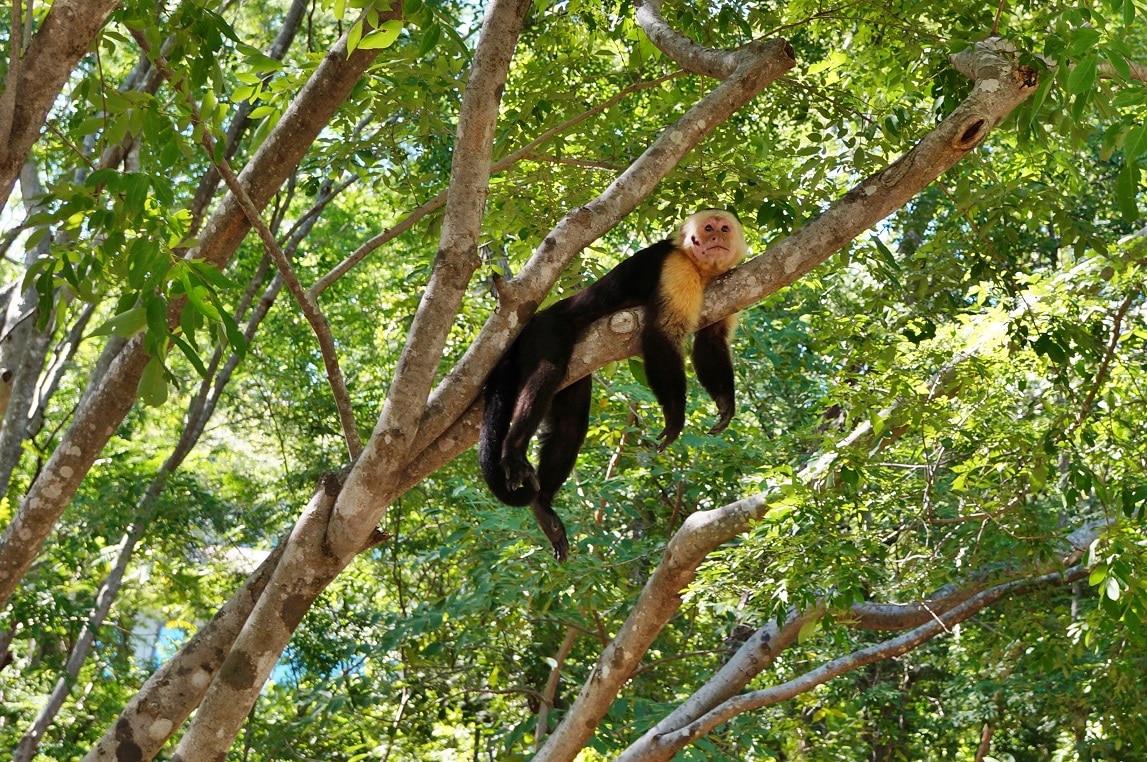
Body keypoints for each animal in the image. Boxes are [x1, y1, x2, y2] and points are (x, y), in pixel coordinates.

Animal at [479, 208, 747, 560]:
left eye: (724, 228)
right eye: (708, 228)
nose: (715, 237)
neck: (702, 270)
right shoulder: (675, 267)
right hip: (545, 332)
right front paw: (675, 415)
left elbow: (711, 341)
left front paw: (725, 402)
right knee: (547, 372)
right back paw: (513, 450)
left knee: (571, 423)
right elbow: (660, 335)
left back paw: (543, 505)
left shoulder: (728, 281)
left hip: (576, 369)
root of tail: (530, 323)